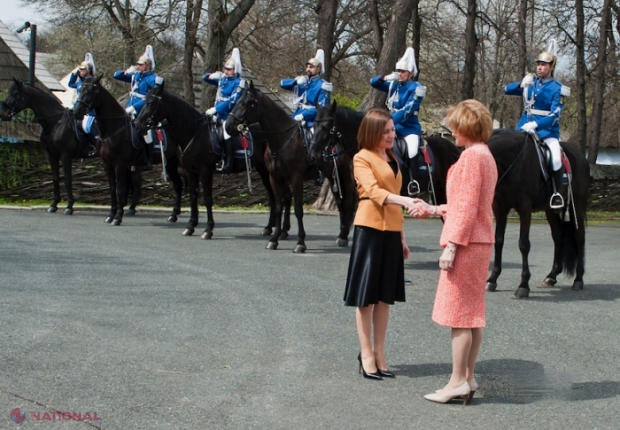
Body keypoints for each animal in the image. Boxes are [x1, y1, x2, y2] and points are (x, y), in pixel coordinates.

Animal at [0, 78, 110, 213]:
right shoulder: (51, 155)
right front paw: (54, 204)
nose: (3, 114)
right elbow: (55, 178)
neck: (56, 122)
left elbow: (67, 180)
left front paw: (69, 206)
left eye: (15, 94)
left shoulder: (65, 155)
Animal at [133, 80, 284, 239]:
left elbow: (207, 199)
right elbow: (193, 196)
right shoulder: (189, 171)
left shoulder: (205, 171)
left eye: (150, 102)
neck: (194, 132)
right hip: (263, 169)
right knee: (272, 196)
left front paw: (208, 230)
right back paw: (269, 227)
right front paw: (190, 226)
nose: (137, 125)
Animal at [225, 81, 318, 252]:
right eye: (237, 101)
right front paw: (274, 238)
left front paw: (300, 242)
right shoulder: (275, 177)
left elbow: (298, 210)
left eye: (248, 103)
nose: (228, 126)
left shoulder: (296, 178)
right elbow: (278, 205)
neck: (282, 139)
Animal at [484, 129, 592, 298]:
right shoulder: (499, 208)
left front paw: (523, 285)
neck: (512, 162)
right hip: (550, 210)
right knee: (558, 235)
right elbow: (498, 240)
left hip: (578, 206)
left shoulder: (524, 208)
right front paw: (492, 279)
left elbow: (523, 244)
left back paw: (578, 280)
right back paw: (551, 276)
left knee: (579, 237)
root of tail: (581, 156)